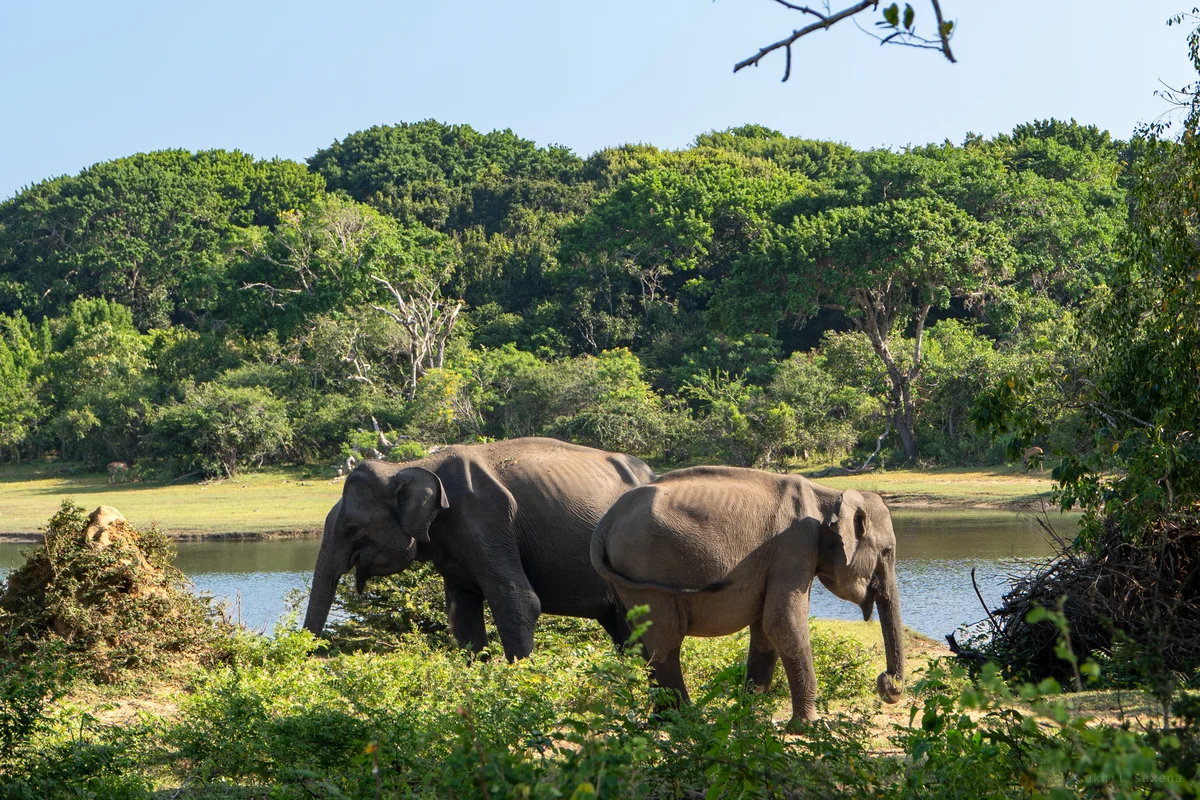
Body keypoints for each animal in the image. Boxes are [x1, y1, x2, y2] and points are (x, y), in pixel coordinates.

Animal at [590, 465, 904, 727]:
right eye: (887, 551)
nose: (887, 683)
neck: (827, 495)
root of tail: (605, 524)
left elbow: (766, 631)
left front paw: (749, 717)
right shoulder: (794, 548)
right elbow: (784, 624)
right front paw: (810, 726)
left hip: (625, 579)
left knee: (640, 642)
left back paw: (662, 718)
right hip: (646, 571)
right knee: (664, 640)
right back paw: (685, 718)